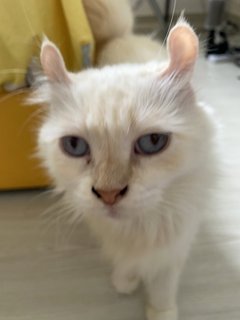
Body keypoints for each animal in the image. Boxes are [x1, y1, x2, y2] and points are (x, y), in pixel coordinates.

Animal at [30, 15, 218, 320]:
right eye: (75, 146)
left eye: (152, 142)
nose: (109, 194)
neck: (136, 228)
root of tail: (123, 35)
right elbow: (125, 261)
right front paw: (125, 282)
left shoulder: (175, 244)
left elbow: (163, 283)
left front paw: (161, 312)